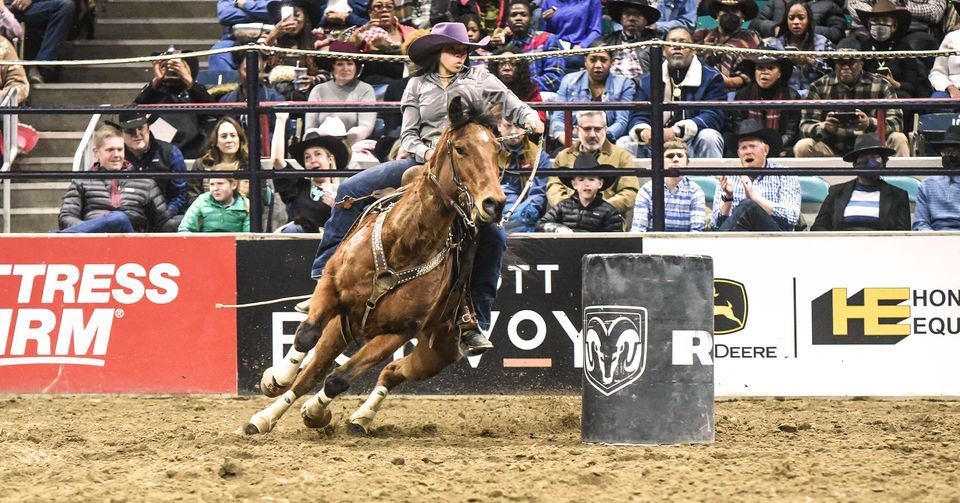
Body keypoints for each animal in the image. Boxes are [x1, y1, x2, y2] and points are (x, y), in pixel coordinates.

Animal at [244, 91, 506, 438]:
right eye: (461, 148)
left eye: (497, 151)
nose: (494, 203)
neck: (403, 246)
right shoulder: (331, 290)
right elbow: (305, 336)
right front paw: (276, 379)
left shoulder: (398, 332)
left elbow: (339, 379)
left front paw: (315, 412)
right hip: (343, 327)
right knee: (312, 370)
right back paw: (265, 416)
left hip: (438, 349)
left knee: (392, 371)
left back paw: (360, 417)